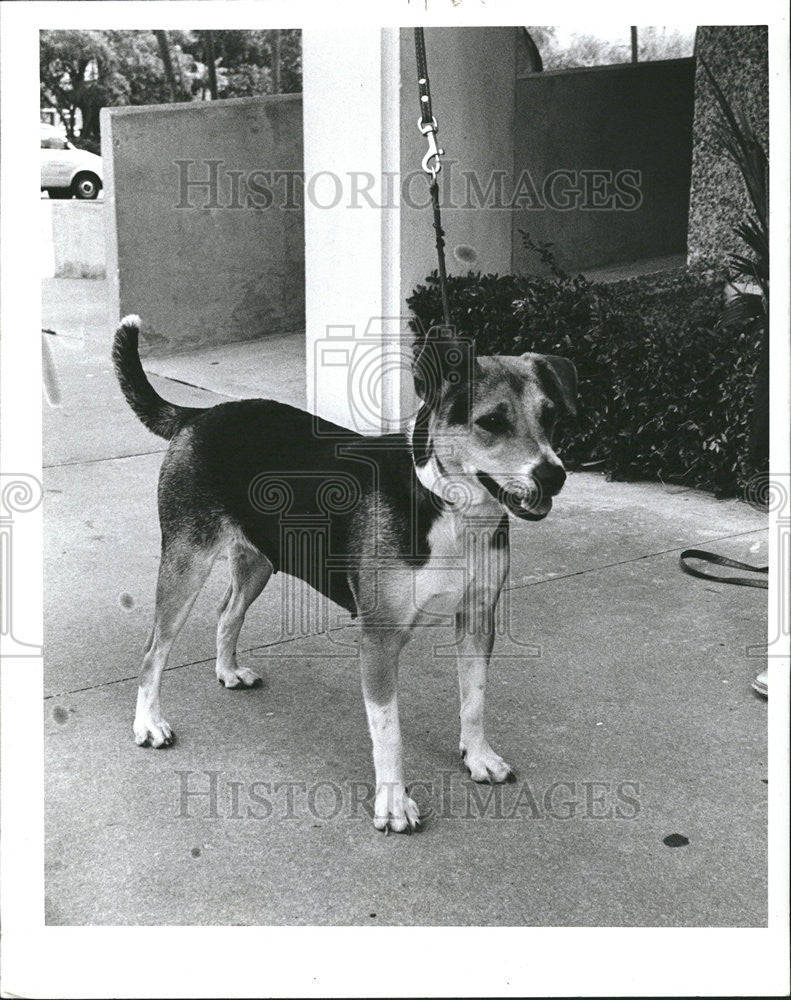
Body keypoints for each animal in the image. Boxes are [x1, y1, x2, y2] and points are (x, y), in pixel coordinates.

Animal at [113, 316, 576, 832]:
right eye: (492, 422)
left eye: (551, 416)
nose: (553, 475)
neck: (448, 508)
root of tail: (200, 415)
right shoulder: (378, 640)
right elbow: (389, 732)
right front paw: (393, 803)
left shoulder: (477, 619)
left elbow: (473, 701)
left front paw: (478, 758)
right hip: (186, 563)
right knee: (153, 650)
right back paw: (149, 724)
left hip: (259, 559)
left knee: (227, 612)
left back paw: (228, 671)